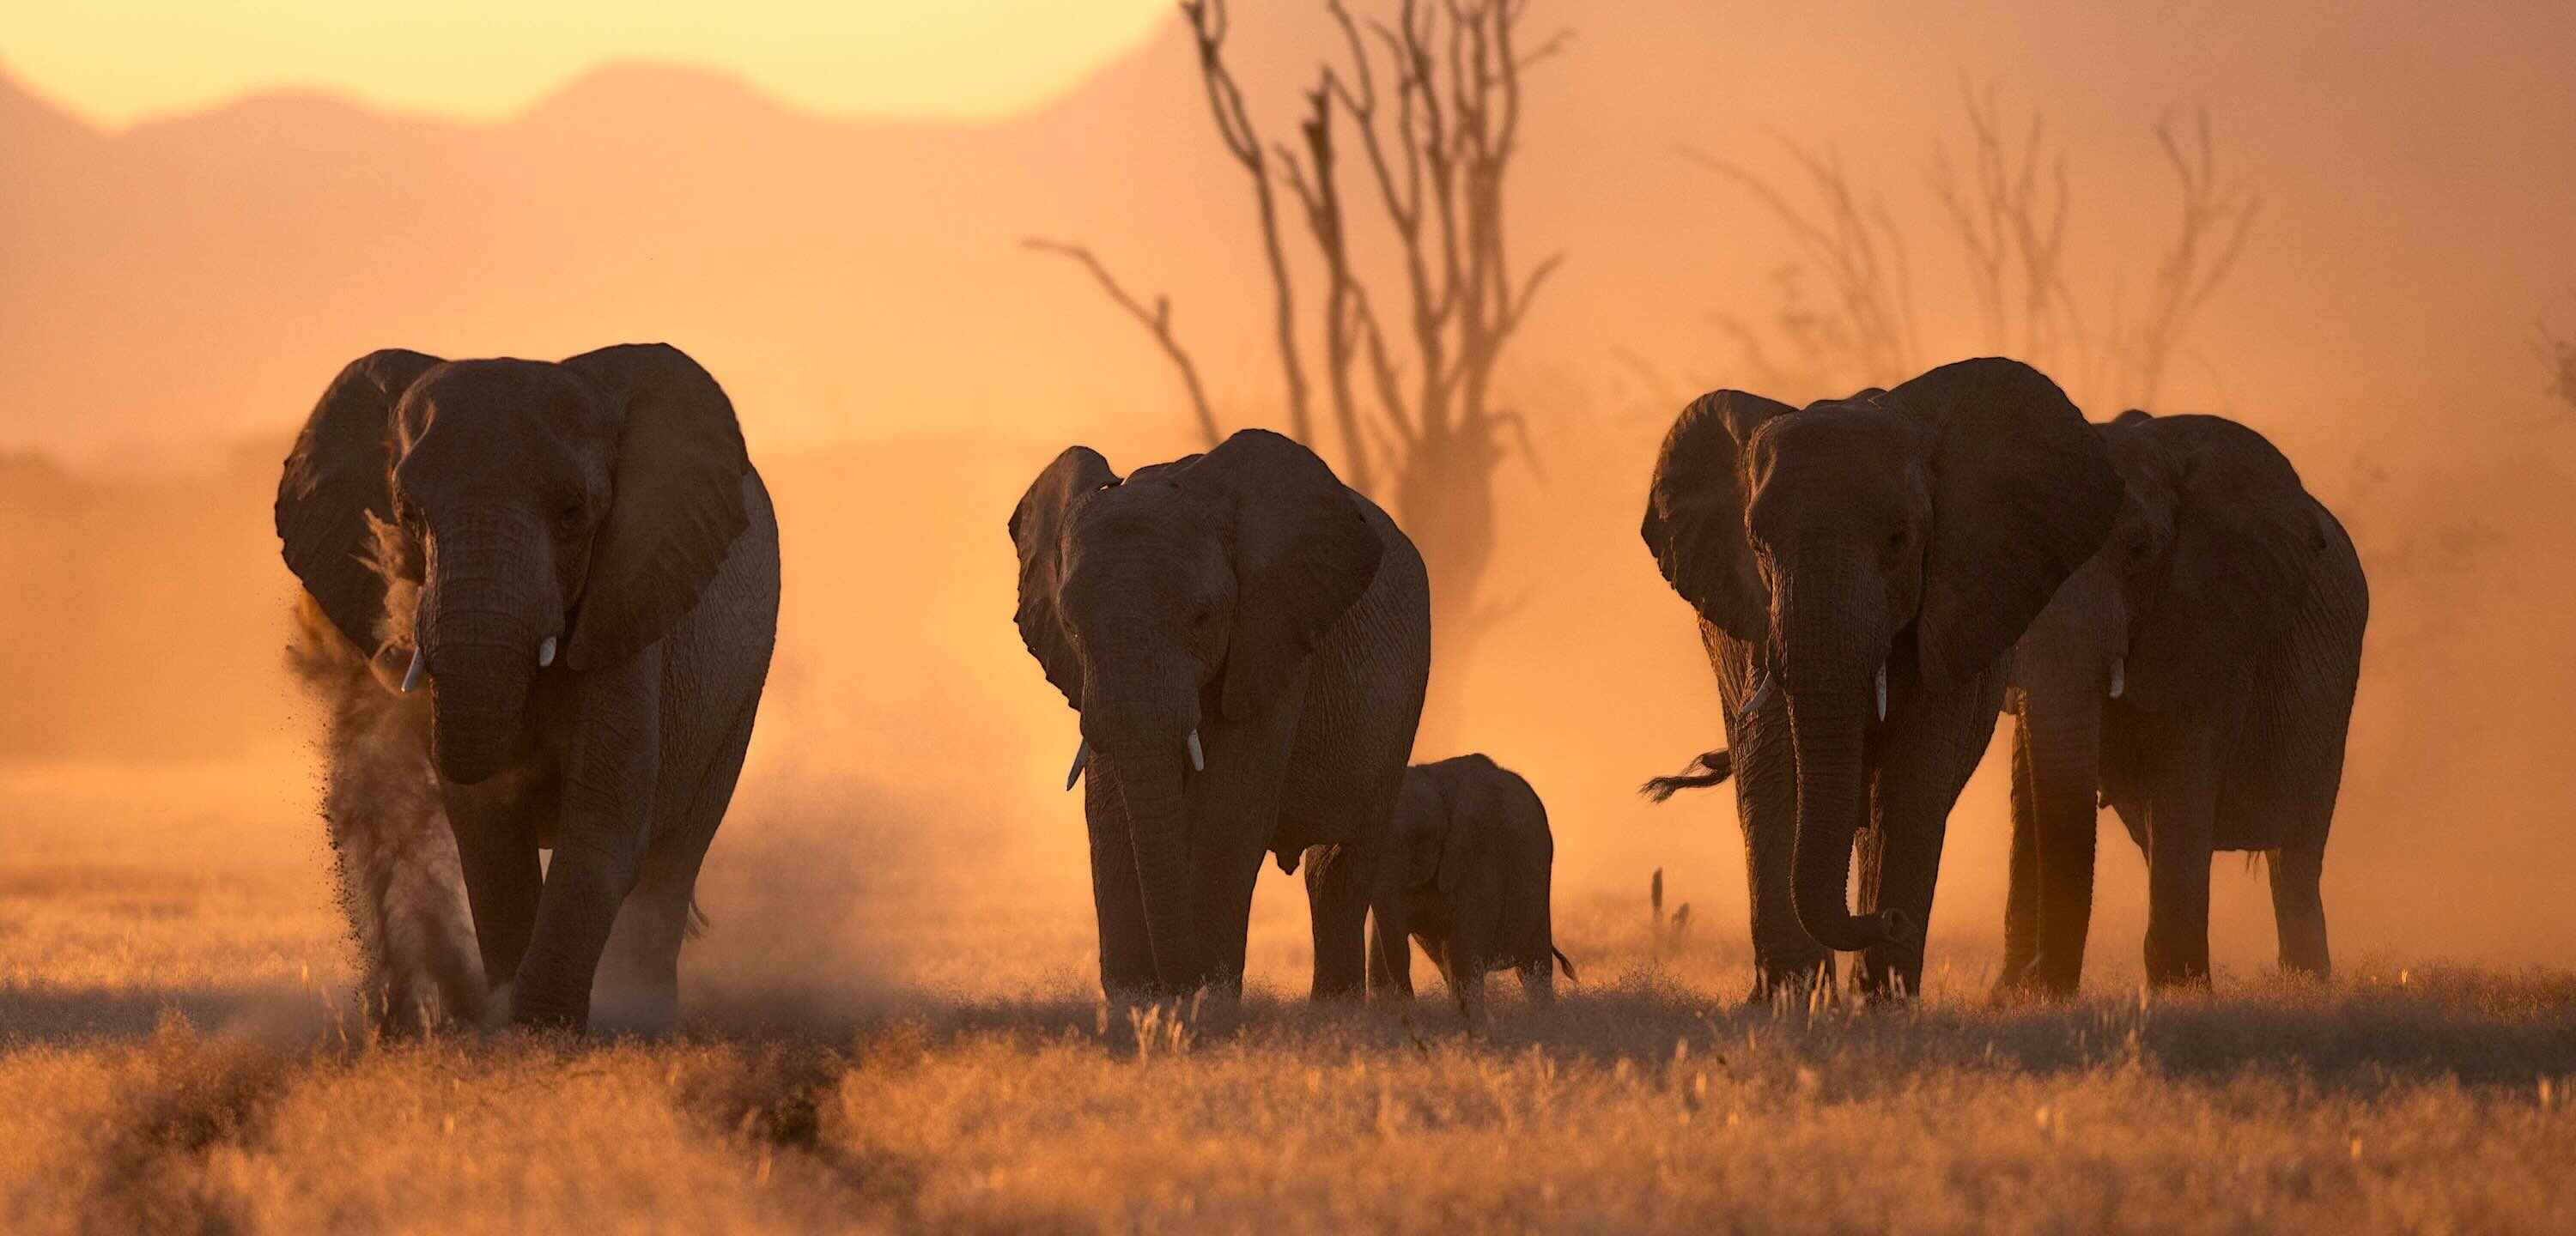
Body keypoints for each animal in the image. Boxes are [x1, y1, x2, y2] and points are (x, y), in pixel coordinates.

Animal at [276, 343, 779, 1034]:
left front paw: (542, 1038)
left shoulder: (632, 605)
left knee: (671, 863)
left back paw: (644, 1022)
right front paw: (512, 1034)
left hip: (737, 700)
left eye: (573, 513)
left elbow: (602, 828)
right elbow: (489, 836)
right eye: (406, 515)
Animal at [1010, 429, 1431, 1009]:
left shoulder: (1273, 635)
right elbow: (1111, 808)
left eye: (1202, 618)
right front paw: (1135, 1002)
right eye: (1072, 625)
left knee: (1342, 871)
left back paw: (1337, 1013)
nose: (1174, 989)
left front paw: (1206, 999)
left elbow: (1230, 810)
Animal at [1367, 754, 1576, 1029]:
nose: (1411, 1012)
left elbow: (1463, 948)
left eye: (1419, 839)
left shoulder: (1477, 853)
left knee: (1532, 968)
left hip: (1539, 888)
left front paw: (1473, 1026)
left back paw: (1544, 1020)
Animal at [1639, 358, 2123, 1002]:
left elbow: (1914, 777)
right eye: (1758, 544)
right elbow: (1775, 766)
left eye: (1899, 540)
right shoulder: (1756, 624)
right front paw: (1790, 1002)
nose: (1891, 920)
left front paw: (1884, 1002)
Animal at [1995, 409, 2367, 996]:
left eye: (2140, 549)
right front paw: (2011, 999)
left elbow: (2183, 774)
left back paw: (2305, 987)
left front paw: (2182, 995)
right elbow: (2029, 779)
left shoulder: (2214, 620)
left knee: (2295, 853)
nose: (2056, 990)